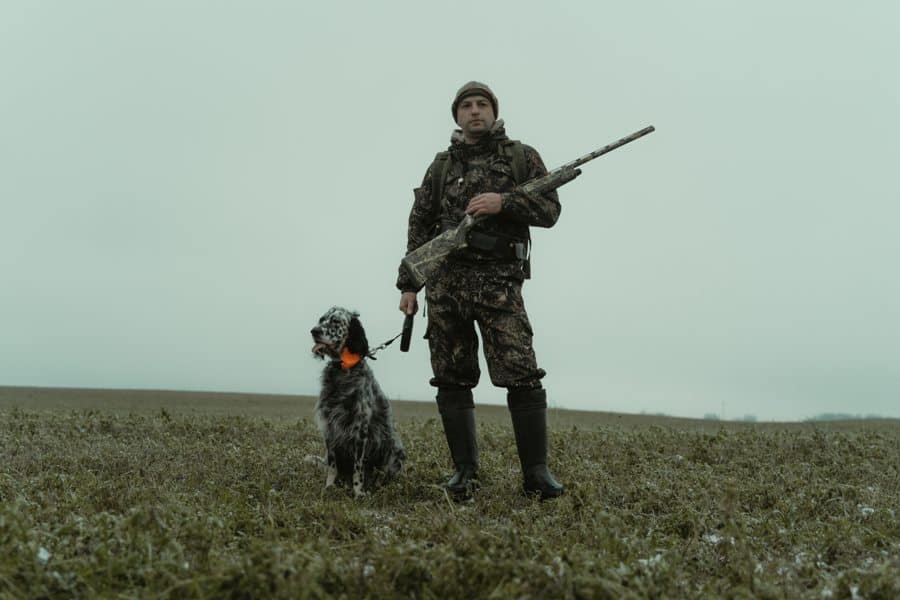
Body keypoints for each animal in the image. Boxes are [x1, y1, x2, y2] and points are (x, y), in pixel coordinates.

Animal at [312, 308, 406, 494]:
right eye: (321, 319)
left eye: (335, 321)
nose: (314, 331)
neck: (343, 370)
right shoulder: (330, 427)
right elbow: (332, 466)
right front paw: (329, 486)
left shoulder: (360, 429)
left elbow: (358, 467)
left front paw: (358, 492)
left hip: (394, 447)